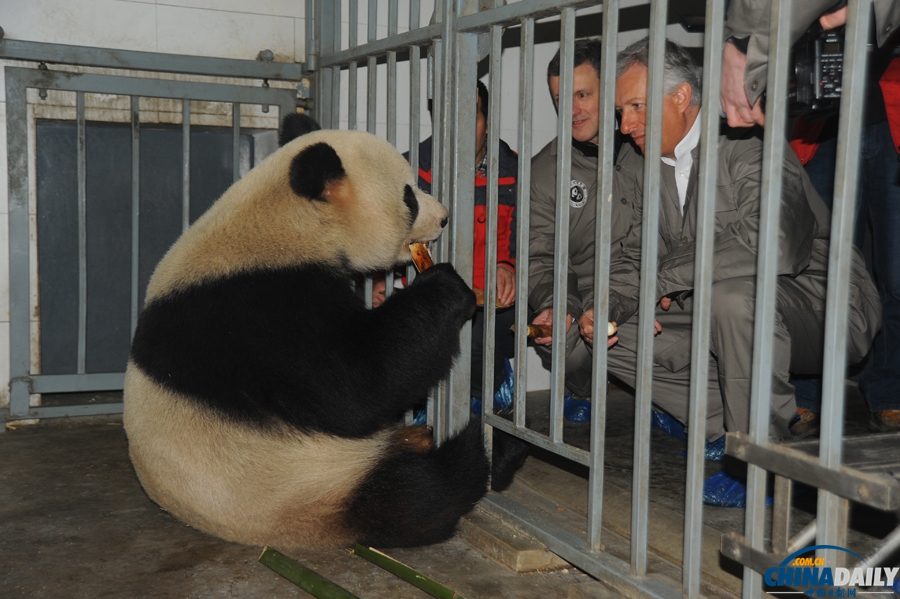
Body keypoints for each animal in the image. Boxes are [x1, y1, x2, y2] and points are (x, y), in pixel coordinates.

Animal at [123, 113, 524, 552]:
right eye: (409, 197)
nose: (445, 216)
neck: (287, 220)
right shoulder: (262, 313)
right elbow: (356, 384)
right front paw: (447, 287)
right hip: (306, 484)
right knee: (416, 493)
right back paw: (492, 446)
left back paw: (418, 436)